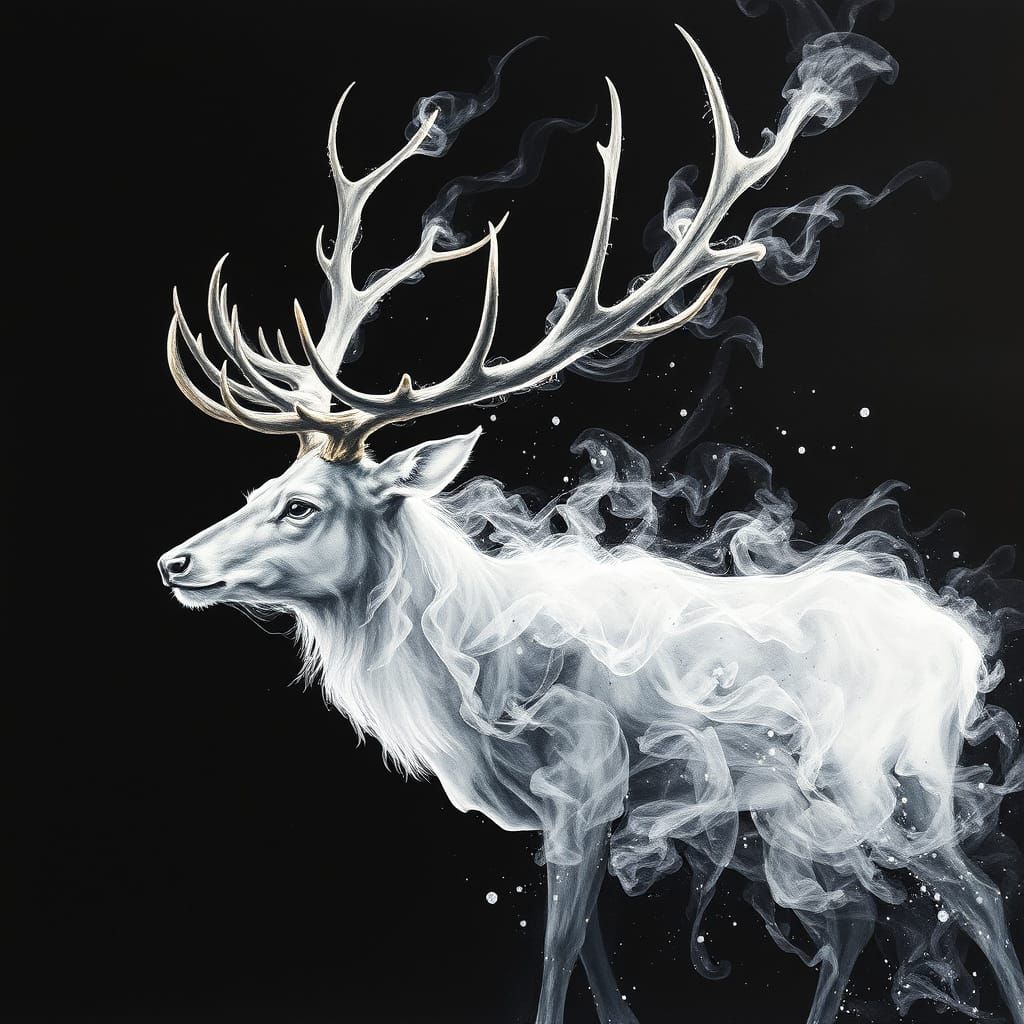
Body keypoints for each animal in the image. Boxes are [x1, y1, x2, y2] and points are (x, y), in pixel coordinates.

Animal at [158, 27, 1024, 1024]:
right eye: (263, 486)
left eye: (302, 506)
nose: (175, 562)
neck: (475, 669)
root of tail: (964, 647)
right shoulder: (576, 816)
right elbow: (601, 967)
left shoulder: (584, 784)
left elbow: (558, 957)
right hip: (788, 805)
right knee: (850, 920)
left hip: (894, 778)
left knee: (979, 899)